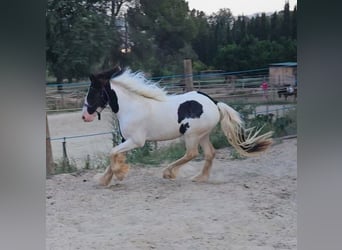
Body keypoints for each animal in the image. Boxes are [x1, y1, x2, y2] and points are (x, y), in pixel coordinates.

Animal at [81, 66, 272, 186]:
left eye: (93, 92)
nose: (84, 116)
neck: (132, 107)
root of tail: (214, 102)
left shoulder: (136, 141)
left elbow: (112, 153)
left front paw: (119, 174)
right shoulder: (126, 140)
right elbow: (114, 155)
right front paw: (104, 179)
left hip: (192, 135)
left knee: (192, 153)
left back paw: (168, 172)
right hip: (203, 135)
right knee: (210, 153)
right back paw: (199, 178)